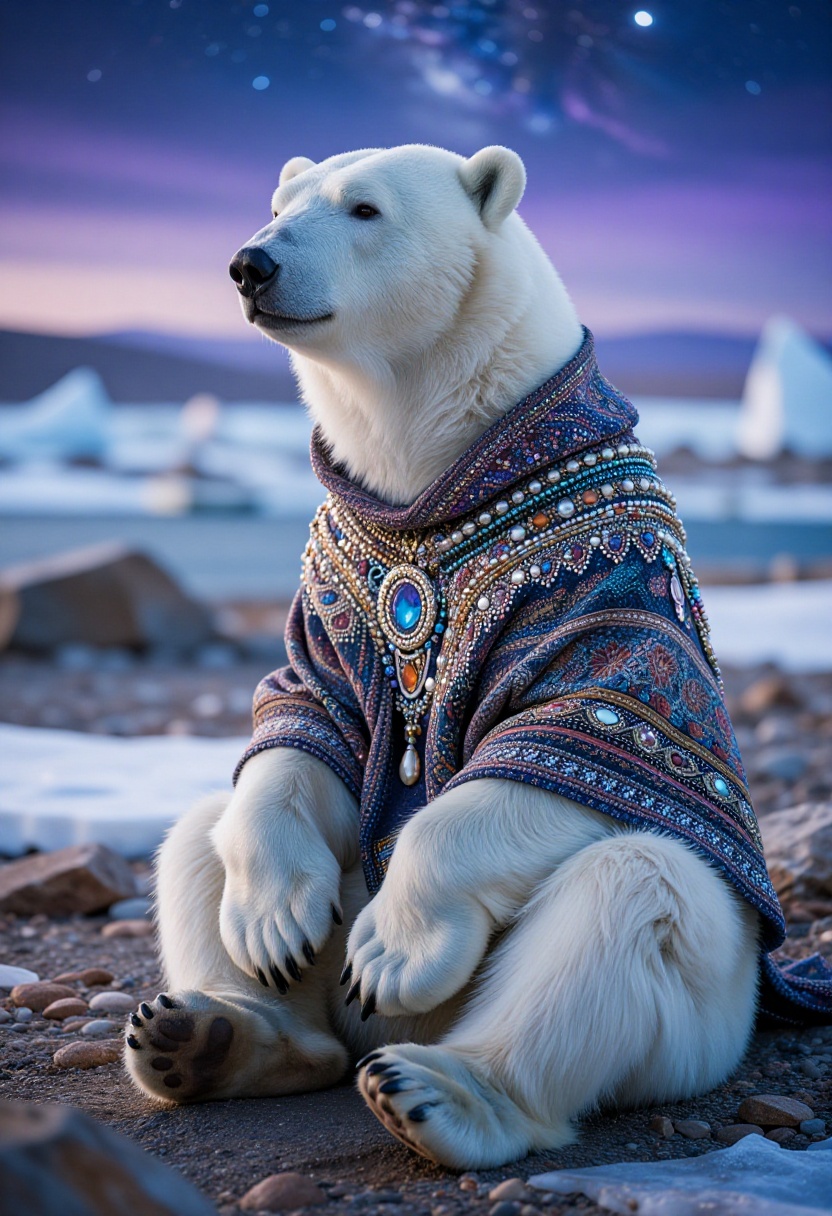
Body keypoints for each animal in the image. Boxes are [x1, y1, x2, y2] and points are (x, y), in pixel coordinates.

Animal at [124, 144, 775, 1171]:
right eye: (277, 203)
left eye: (363, 208)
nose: (250, 263)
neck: (439, 476)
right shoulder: (338, 572)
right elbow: (306, 715)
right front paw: (274, 923)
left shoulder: (606, 576)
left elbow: (578, 732)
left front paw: (392, 954)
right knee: (198, 832)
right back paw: (212, 1033)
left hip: (703, 1017)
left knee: (637, 891)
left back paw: (436, 1087)